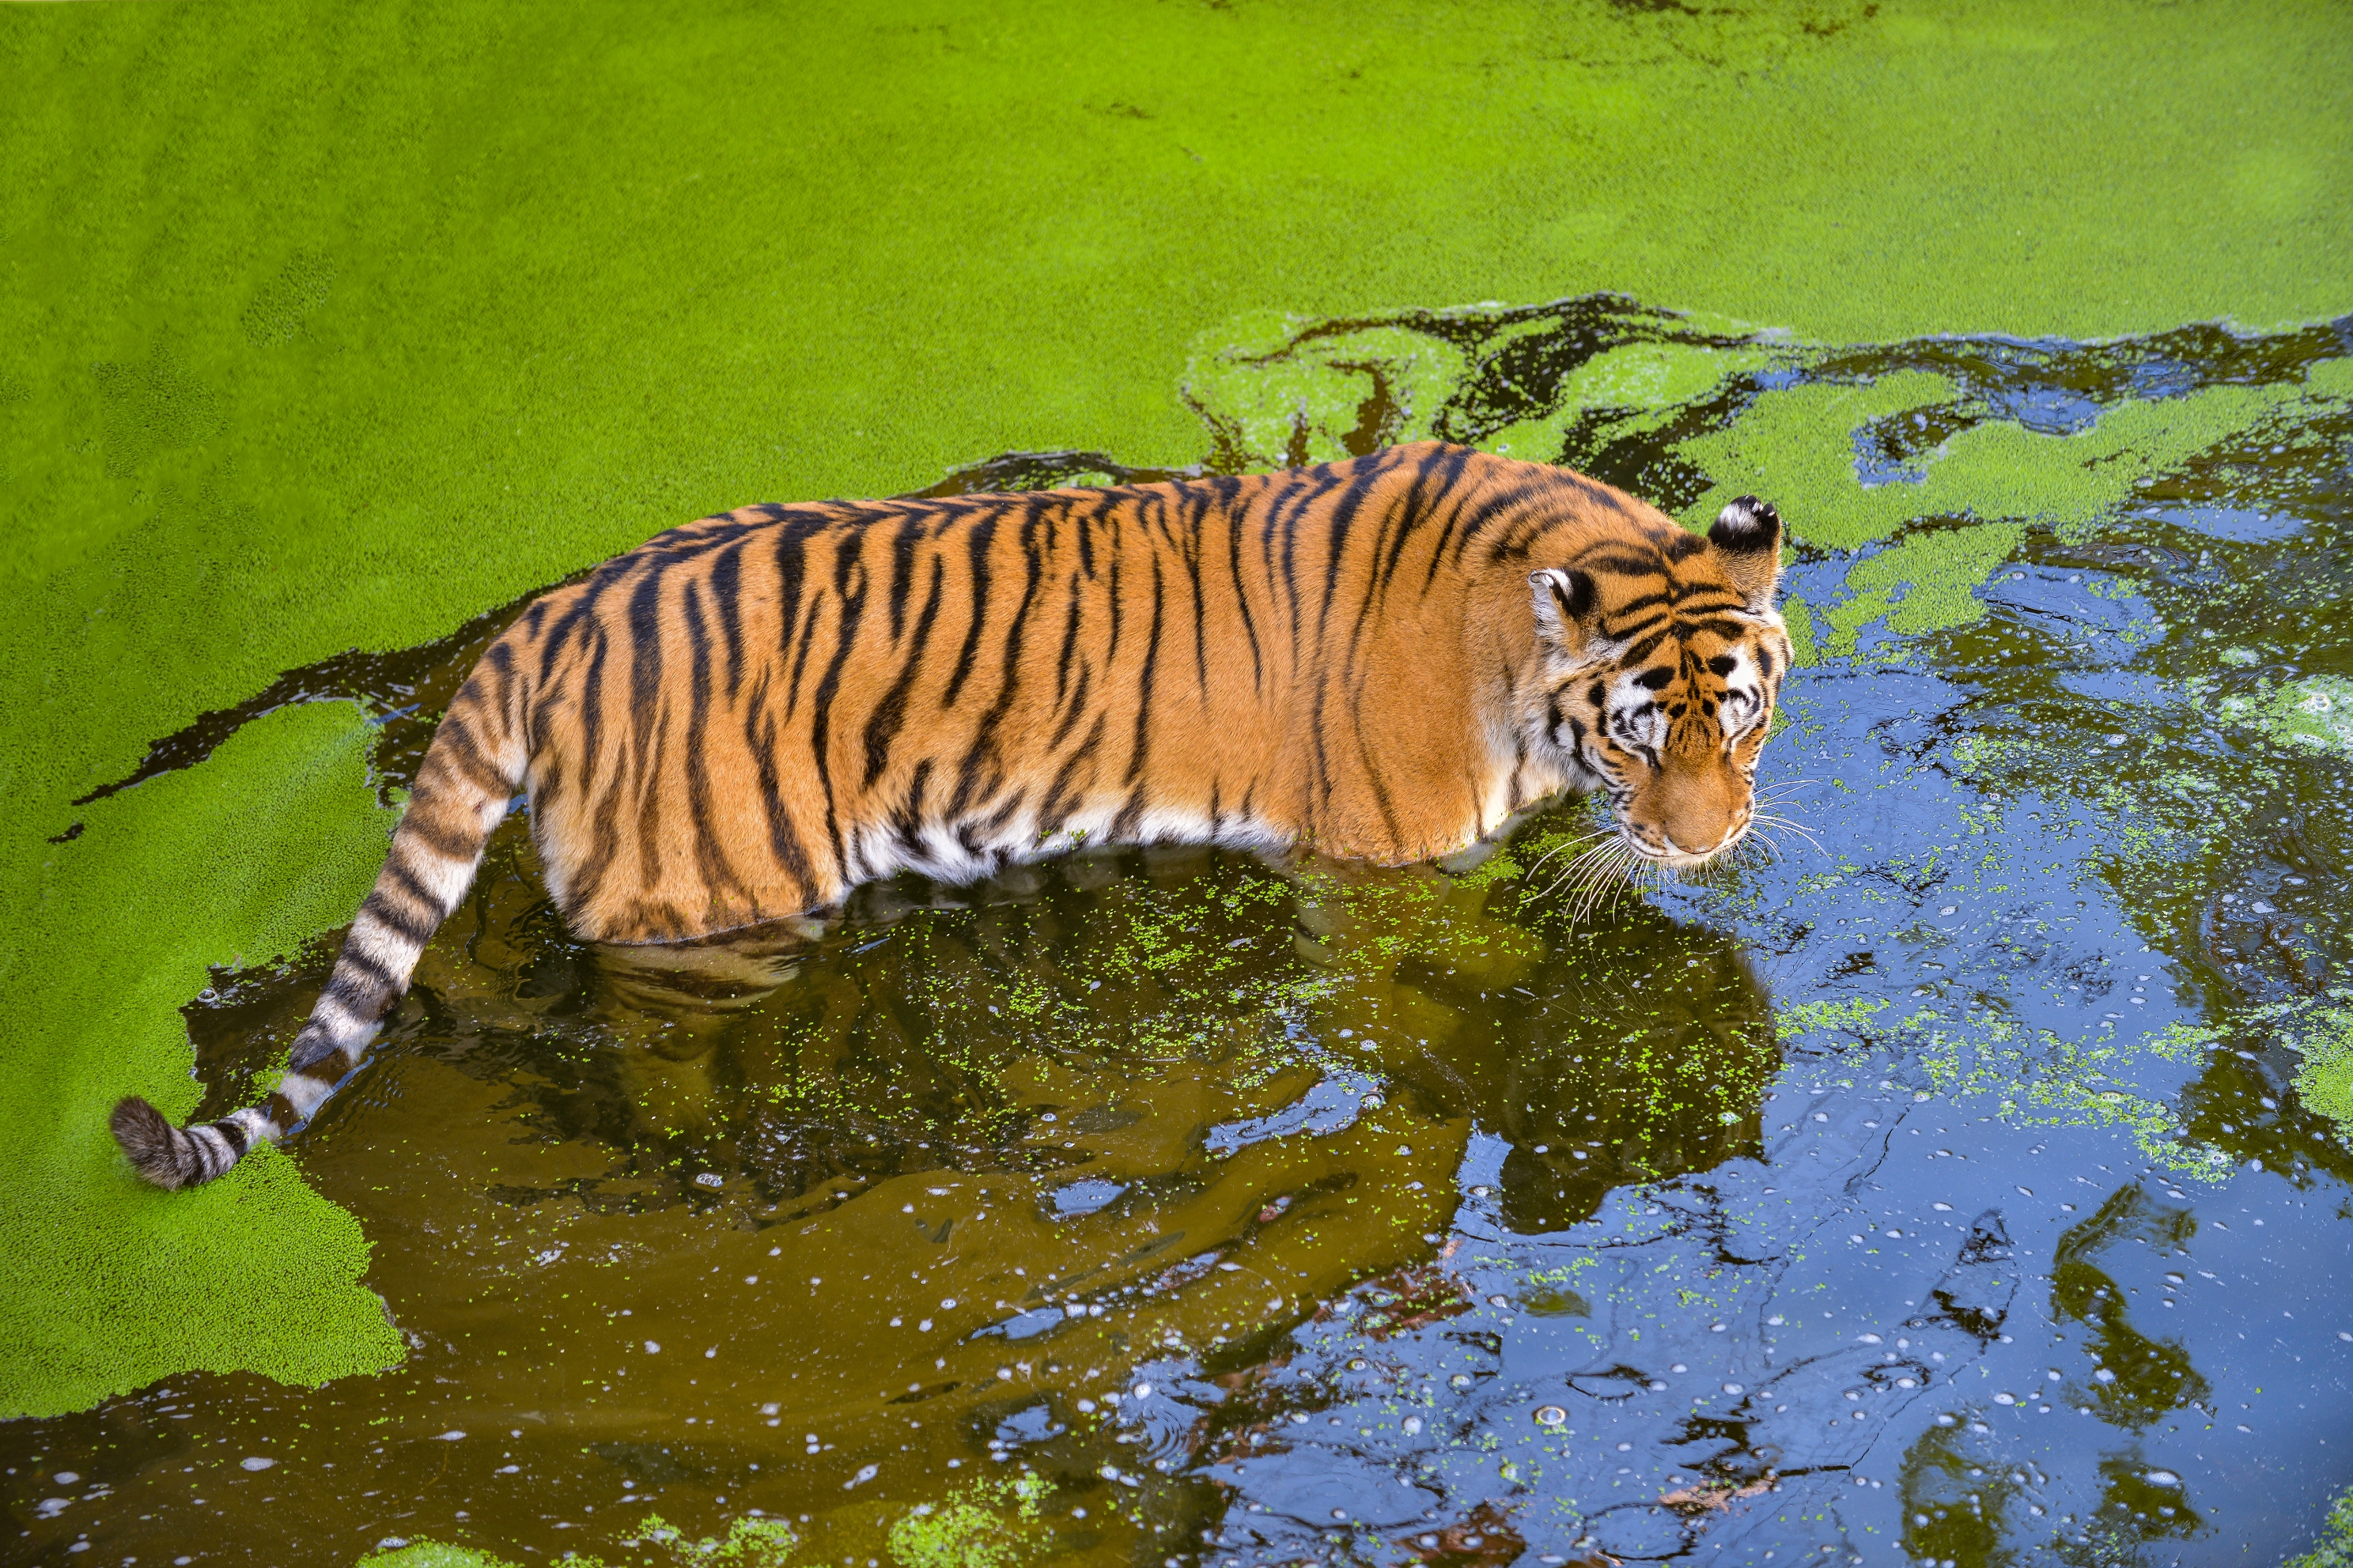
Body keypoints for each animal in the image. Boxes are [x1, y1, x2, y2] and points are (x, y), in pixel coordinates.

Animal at [111, 440, 1792, 1189]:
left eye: (1744, 716)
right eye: (1646, 732)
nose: (1712, 839)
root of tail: (558, 612)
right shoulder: (1377, 880)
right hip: (712, 915)